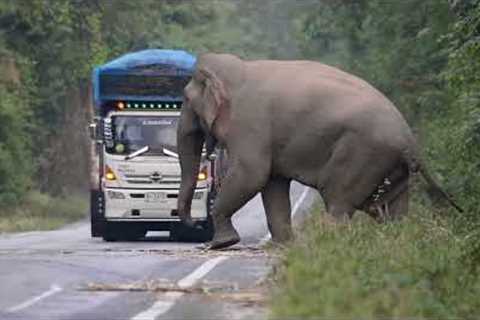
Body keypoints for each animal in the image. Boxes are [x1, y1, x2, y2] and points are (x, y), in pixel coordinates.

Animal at [178, 52, 464, 250]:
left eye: (186, 99)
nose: (191, 222)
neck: (238, 69)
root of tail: (410, 141)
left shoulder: (250, 124)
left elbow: (253, 174)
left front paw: (220, 245)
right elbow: (272, 183)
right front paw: (281, 246)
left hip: (361, 154)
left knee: (338, 198)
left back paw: (333, 242)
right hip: (390, 164)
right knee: (390, 208)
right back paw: (395, 243)